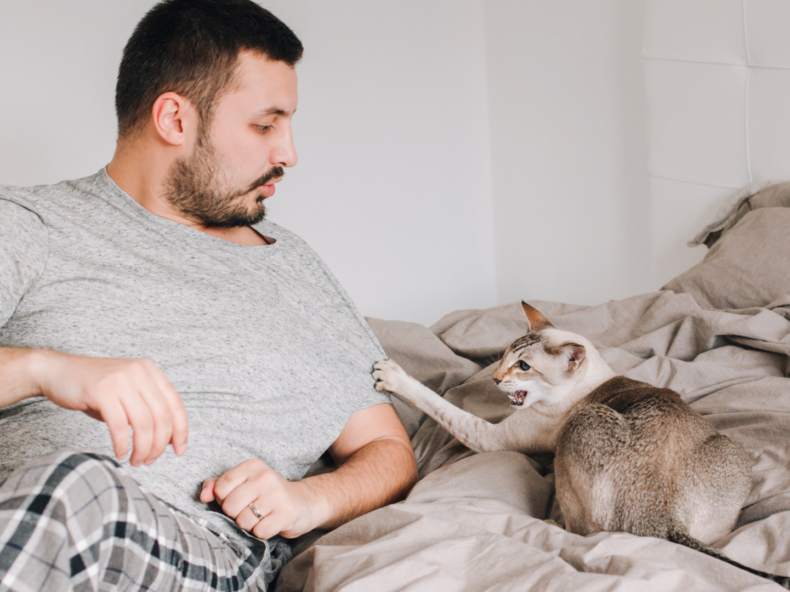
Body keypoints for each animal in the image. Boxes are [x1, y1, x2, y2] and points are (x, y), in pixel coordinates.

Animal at [374, 302, 790, 588]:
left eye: (524, 367)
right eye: (506, 354)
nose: (494, 378)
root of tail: (661, 517)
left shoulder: (491, 436)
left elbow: (440, 403)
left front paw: (392, 375)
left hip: (578, 429)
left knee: (580, 529)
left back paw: (550, 519)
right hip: (730, 449)